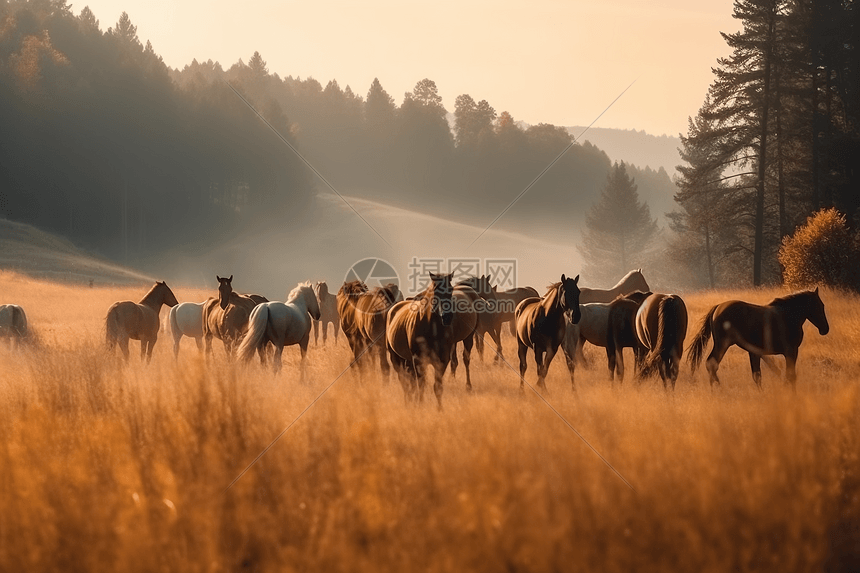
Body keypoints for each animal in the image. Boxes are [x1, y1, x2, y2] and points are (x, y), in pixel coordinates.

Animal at [388, 272, 456, 406]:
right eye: (435, 291)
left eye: (451, 289)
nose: (447, 317)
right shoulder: (419, 360)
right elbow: (421, 385)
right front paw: (420, 405)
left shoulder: (442, 360)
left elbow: (437, 387)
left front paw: (440, 408)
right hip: (396, 359)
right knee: (404, 382)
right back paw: (408, 402)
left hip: (408, 362)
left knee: (411, 382)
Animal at [684, 288, 828, 386]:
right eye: (820, 306)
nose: (825, 329)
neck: (787, 315)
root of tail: (718, 307)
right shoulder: (791, 351)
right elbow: (790, 376)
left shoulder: (757, 352)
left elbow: (760, 374)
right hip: (723, 344)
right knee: (712, 363)